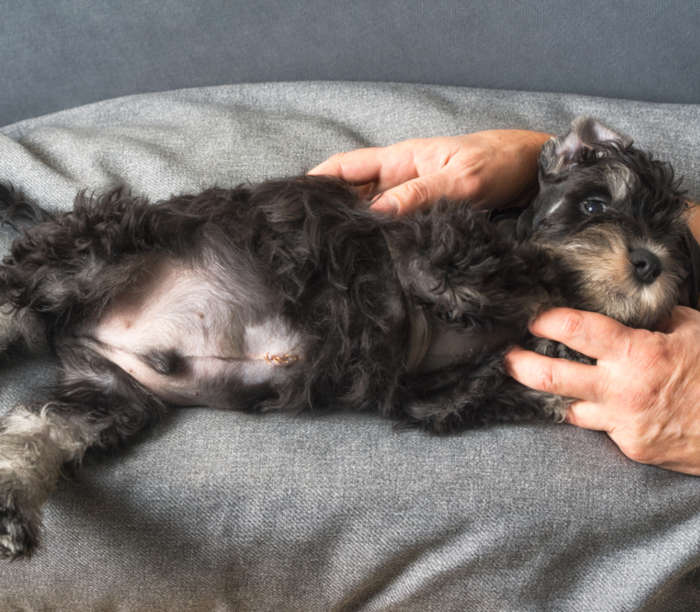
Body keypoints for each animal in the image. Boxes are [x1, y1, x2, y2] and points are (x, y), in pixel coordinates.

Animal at [0, 116, 696, 560]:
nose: (648, 263)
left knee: (33, 433)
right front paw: (541, 288)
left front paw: (559, 349)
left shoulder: (436, 396)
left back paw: (11, 513)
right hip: (88, 255)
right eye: (593, 205)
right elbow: (499, 271)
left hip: (111, 398)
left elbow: (499, 378)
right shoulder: (439, 249)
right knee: (15, 300)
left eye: (675, 238)